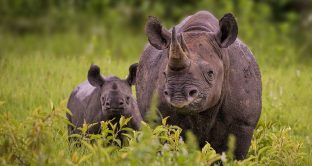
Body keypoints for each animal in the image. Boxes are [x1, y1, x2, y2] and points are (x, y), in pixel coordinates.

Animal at [136, 10, 260, 160]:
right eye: (164, 73)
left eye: (210, 73)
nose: (178, 96)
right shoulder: (161, 120)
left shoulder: (243, 123)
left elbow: (233, 155)